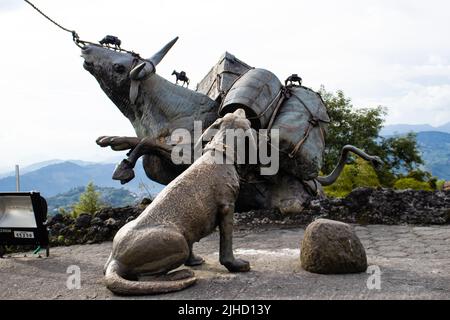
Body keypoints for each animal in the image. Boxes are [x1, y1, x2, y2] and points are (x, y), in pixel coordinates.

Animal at [103, 109, 255, 296]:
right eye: (242, 118)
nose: (241, 109)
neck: (220, 154)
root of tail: (116, 260)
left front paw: (195, 261)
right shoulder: (227, 207)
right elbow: (226, 243)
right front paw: (236, 265)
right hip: (178, 243)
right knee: (146, 278)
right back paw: (182, 274)